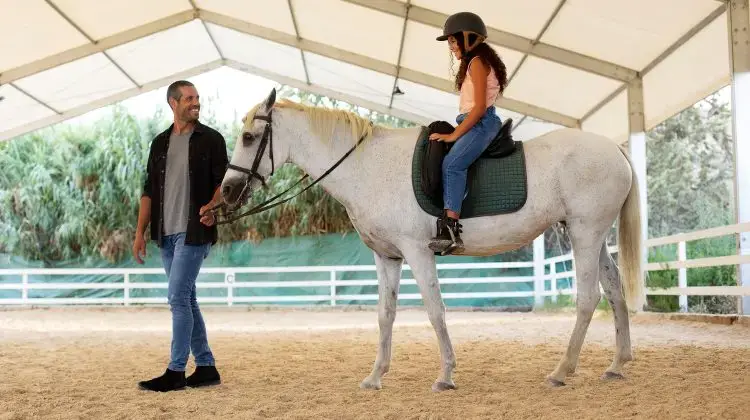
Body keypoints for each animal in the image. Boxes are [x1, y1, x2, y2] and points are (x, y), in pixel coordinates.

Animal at [218, 88, 644, 391]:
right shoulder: (387, 257)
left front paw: (446, 375)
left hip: (585, 232)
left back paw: (562, 370)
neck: (367, 166)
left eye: (249, 136)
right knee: (614, 290)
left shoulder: (417, 252)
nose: (227, 190)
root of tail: (615, 150)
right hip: (593, 236)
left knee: (588, 298)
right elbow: (385, 315)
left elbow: (434, 311)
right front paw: (375, 377)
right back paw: (617, 364)